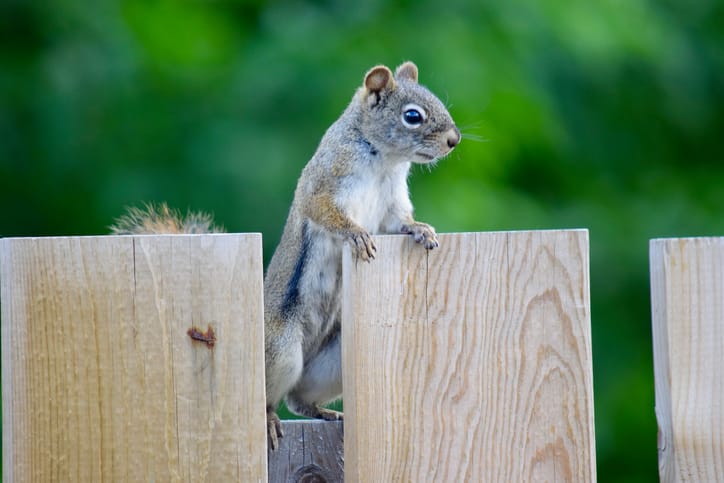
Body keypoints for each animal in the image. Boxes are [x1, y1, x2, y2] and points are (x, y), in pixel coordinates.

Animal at [111, 61, 460, 450]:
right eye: (412, 116)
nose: (454, 140)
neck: (384, 160)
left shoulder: (393, 201)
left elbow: (400, 222)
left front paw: (421, 230)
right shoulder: (324, 183)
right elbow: (325, 212)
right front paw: (355, 233)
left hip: (331, 361)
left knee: (298, 399)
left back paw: (325, 412)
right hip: (281, 351)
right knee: (270, 399)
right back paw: (268, 420)